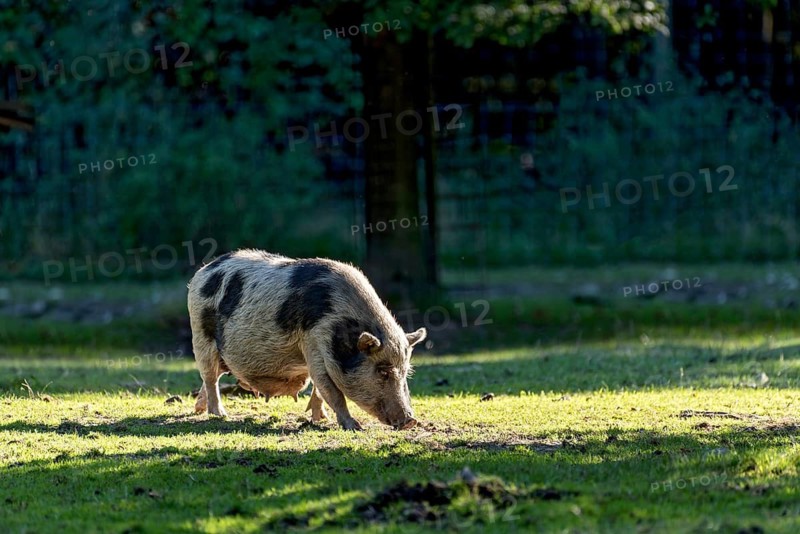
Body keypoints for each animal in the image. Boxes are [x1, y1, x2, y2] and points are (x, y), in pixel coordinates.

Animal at [187, 249, 426, 430]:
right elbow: (331, 391)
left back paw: (199, 409)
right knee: (210, 377)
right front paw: (355, 427)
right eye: (383, 371)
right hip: (200, 335)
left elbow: (320, 391)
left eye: (406, 372)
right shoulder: (315, 343)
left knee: (211, 377)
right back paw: (219, 414)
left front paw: (321, 419)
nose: (410, 420)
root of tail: (203, 270)